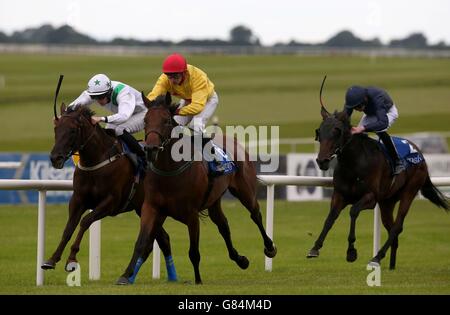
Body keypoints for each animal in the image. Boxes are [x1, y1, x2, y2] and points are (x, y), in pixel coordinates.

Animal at [44, 104, 178, 284]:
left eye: (72, 130)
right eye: (56, 128)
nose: (55, 158)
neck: (97, 161)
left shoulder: (110, 202)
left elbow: (85, 221)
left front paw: (72, 259)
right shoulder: (78, 200)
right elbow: (68, 228)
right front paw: (52, 259)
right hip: (142, 209)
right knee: (163, 239)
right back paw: (169, 276)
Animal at [115, 92, 278, 286]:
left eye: (166, 121)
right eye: (145, 120)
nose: (150, 149)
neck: (169, 171)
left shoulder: (192, 214)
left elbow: (193, 251)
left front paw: (198, 279)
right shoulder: (151, 208)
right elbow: (141, 242)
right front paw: (126, 275)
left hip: (245, 190)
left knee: (255, 214)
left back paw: (269, 247)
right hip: (214, 200)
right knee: (223, 225)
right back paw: (240, 260)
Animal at [308, 78, 448, 270]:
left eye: (337, 131)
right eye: (319, 132)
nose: (321, 161)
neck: (354, 164)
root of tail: (420, 154)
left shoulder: (371, 197)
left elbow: (353, 211)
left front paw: (351, 252)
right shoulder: (339, 195)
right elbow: (330, 218)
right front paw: (315, 247)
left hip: (409, 191)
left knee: (397, 226)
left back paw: (377, 257)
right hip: (388, 201)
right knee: (391, 227)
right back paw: (390, 264)